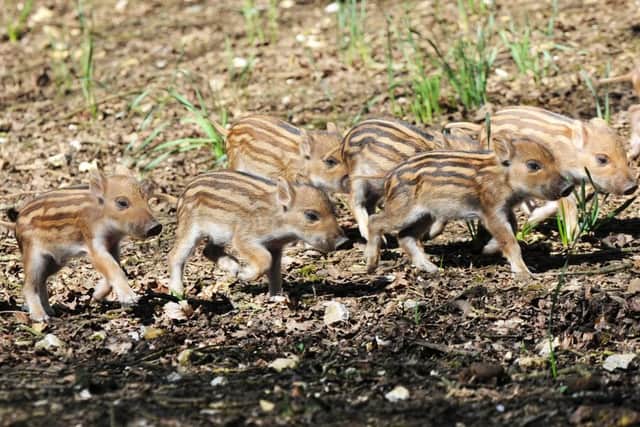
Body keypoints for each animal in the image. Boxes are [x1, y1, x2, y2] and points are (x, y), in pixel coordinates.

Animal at [5, 170, 162, 321]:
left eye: (146, 200)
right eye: (122, 202)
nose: (156, 227)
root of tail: (17, 221)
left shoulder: (113, 244)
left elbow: (115, 266)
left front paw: (96, 296)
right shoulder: (94, 245)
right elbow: (114, 269)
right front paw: (131, 299)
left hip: (54, 261)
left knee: (41, 281)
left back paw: (50, 312)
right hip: (33, 255)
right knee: (28, 285)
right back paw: (40, 317)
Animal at [167, 170, 346, 298]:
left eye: (334, 210)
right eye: (311, 215)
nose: (343, 242)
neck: (278, 219)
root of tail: (185, 191)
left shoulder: (275, 247)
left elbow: (275, 271)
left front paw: (276, 298)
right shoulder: (243, 239)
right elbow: (265, 260)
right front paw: (244, 275)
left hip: (219, 235)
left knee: (208, 250)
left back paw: (234, 267)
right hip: (189, 228)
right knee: (175, 256)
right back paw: (177, 292)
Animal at [364, 137, 574, 277]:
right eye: (533, 165)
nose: (568, 187)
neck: (503, 177)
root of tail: (389, 179)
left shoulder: (505, 209)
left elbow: (513, 230)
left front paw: (487, 250)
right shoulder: (491, 211)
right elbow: (509, 240)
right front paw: (525, 274)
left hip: (426, 215)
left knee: (405, 237)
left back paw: (433, 269)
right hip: (403, 210)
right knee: (375, 222)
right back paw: (371, 266)